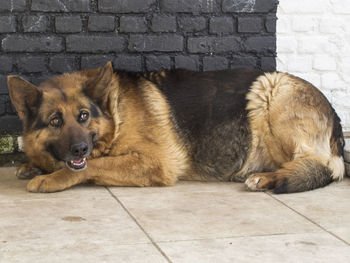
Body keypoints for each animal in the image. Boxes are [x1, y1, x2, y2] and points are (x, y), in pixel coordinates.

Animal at [6, 62, 346, 194]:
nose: (80, 148)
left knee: (321, 166)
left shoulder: (156, 163)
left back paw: (266, 178)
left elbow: (92, 166)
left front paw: (50, 179)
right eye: (55, 121)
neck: (115, 114)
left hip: (270, 89)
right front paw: (32, 166)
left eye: (84, 116)